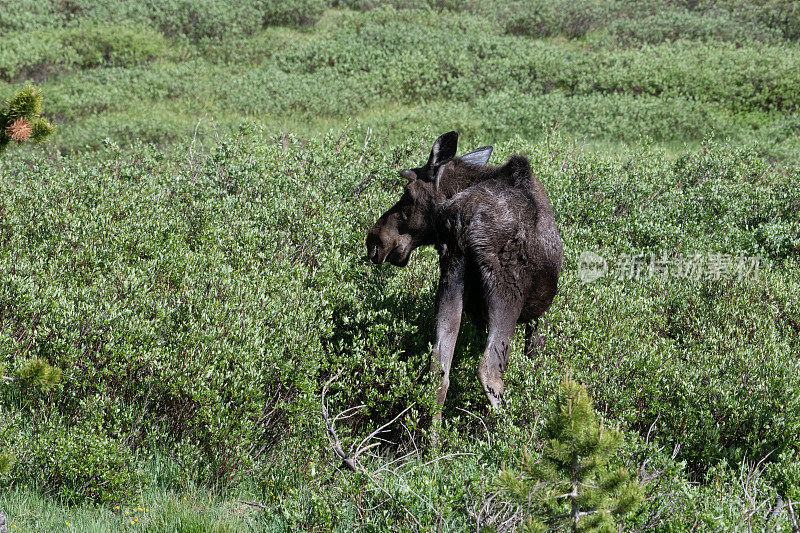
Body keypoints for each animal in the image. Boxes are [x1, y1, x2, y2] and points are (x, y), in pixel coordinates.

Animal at [366, 131, 560, 418]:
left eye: (407, 194)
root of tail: (462, 218)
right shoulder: (540, 315)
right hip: (507, 293)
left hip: (452, 273)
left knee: (439, 370)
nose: (375, 239)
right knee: (489, 370)